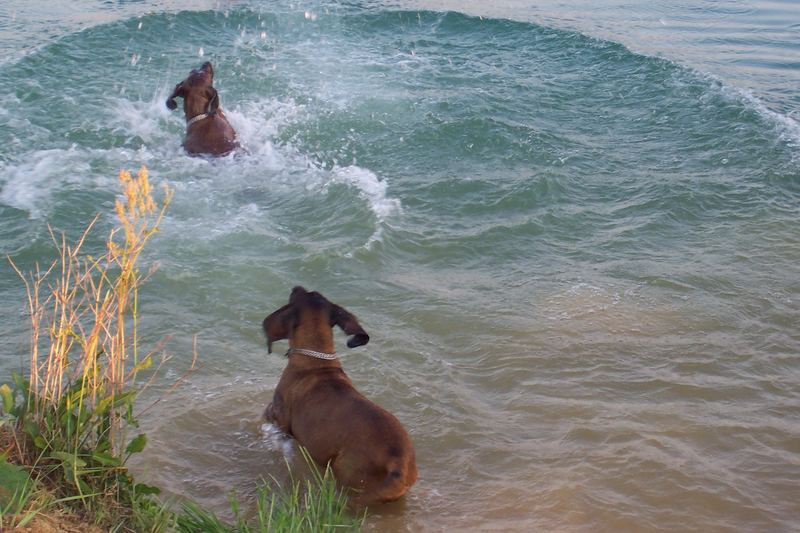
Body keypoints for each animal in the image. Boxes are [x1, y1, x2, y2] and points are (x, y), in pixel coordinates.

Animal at [262, 284, 418, 504]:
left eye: (299, 294)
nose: (296, 286)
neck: (317, 363)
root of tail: (398, 466)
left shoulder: (280, 419)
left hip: (346, 473)